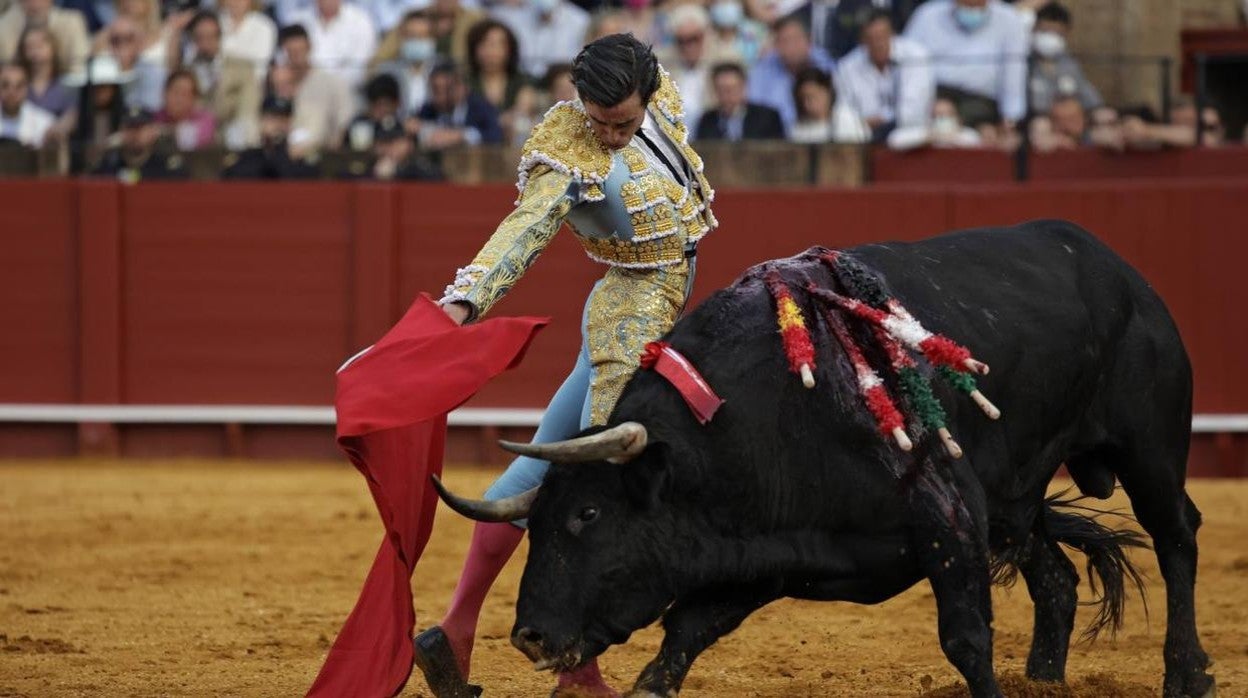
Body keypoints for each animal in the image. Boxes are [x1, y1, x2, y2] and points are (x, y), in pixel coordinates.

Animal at [434, 222, 1213, 698]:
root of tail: (1113, 263)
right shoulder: (763, 548)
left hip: (1149, 447)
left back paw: (1189, 672)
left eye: (588, 514)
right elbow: (685, 632)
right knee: (1055, 575)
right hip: (1016, 497)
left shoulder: (949, 515)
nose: (530, 635)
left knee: (1176, 536)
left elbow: (965, 639)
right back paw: (1045, 680)